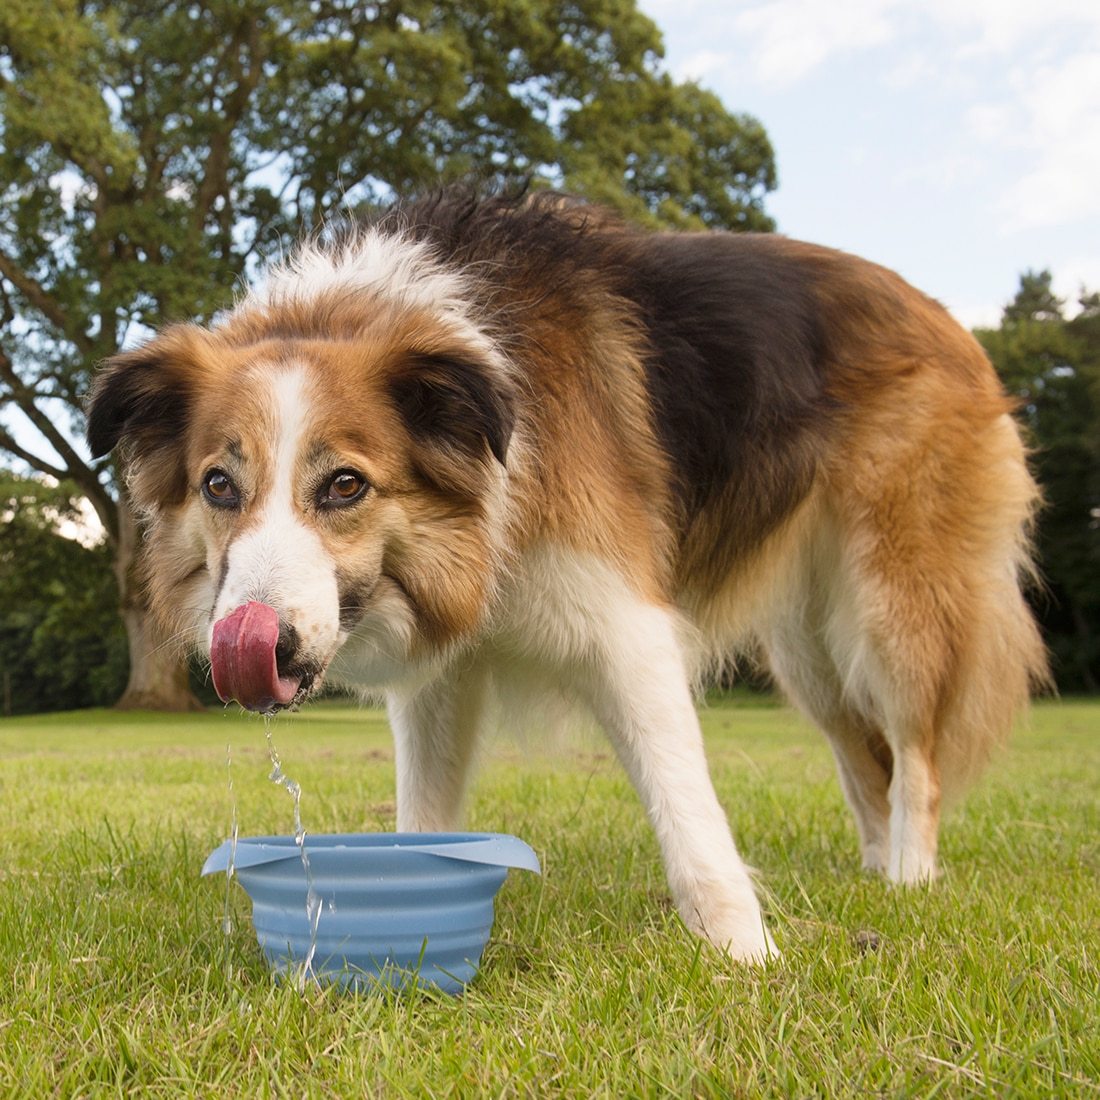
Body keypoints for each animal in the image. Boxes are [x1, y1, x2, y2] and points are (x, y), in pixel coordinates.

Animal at [85, 189, 1047, 963]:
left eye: (345, 486)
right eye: (220, 486)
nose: (256, 647)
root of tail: (943, 315)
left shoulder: (628, 631)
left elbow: (690, 812)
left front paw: (748, 956)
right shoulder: (443, 675)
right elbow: (423, 817)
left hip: (888, 607)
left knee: (914, 753)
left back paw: (909, 880)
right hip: (807, 645)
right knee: (861, 754)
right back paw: (873, 869)